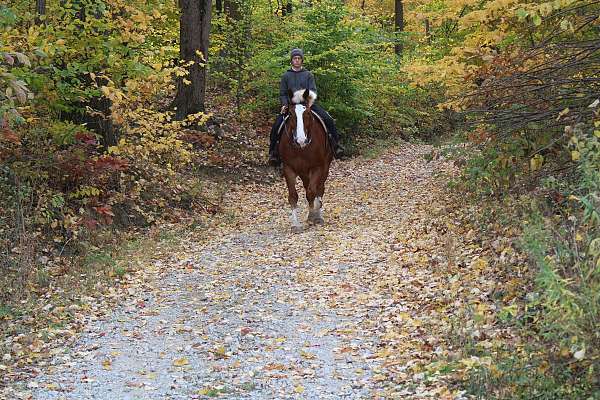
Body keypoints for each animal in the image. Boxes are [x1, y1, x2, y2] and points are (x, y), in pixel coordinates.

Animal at [280, 87, 336, 231]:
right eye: (291, 115)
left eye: (308, 114)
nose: (301, 140)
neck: (301, 149)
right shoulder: (288, 168)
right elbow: (293, 196)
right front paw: (295, 224)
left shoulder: (317, 167)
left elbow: (312, 192)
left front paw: (313, 215)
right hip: (303, 171)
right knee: (308, 186)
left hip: (325, 166)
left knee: (319, 188)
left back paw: (318, 214)